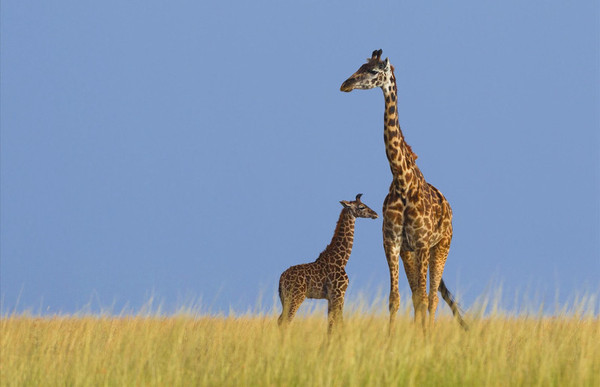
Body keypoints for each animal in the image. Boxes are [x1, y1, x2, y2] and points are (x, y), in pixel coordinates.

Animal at [278, 194, 378, 334]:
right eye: (361, 207)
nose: (375, 214)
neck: (341, 260)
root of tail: (281, 279)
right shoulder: (339, 294)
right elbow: (340, 323)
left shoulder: (331, 297)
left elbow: (330, 325)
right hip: (295, 297)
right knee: (286, 321)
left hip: (285, 299)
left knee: (280, 320)